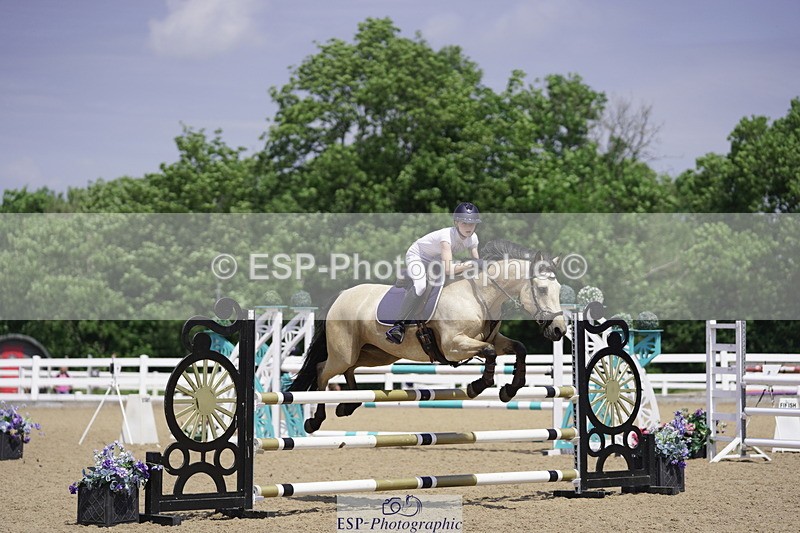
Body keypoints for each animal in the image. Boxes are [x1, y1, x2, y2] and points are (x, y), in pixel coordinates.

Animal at [289, 240, 566, 433]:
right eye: (543, 289)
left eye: (559, 289)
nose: (559, 330)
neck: (479, 295)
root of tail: (342, 295)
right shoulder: (453, 345)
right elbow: (488, 353)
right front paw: (477, 386)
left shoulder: (493, 340)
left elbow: (519, 348)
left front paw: (509, 389)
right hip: (344, 352)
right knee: (323, 370)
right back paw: (315, 421)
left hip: (376, 354)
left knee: (349, 369)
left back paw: (348, 405)